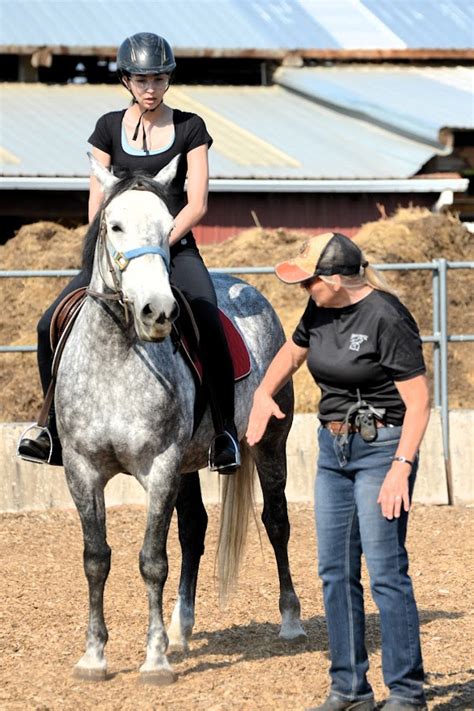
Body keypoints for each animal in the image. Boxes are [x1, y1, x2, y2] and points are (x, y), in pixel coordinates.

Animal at [54, 156, 304, 684]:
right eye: (114, 225)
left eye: (169, 227)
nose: (158, 311)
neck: (118, 357)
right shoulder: (82, 470)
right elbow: (96, 559)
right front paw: (94, 656)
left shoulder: (160, 467)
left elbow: (152, 560)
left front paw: (154, 661)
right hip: (191, 462)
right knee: (194, 529)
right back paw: (181, 629)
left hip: (269, 443)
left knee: (276, 521)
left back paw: (290, 620)